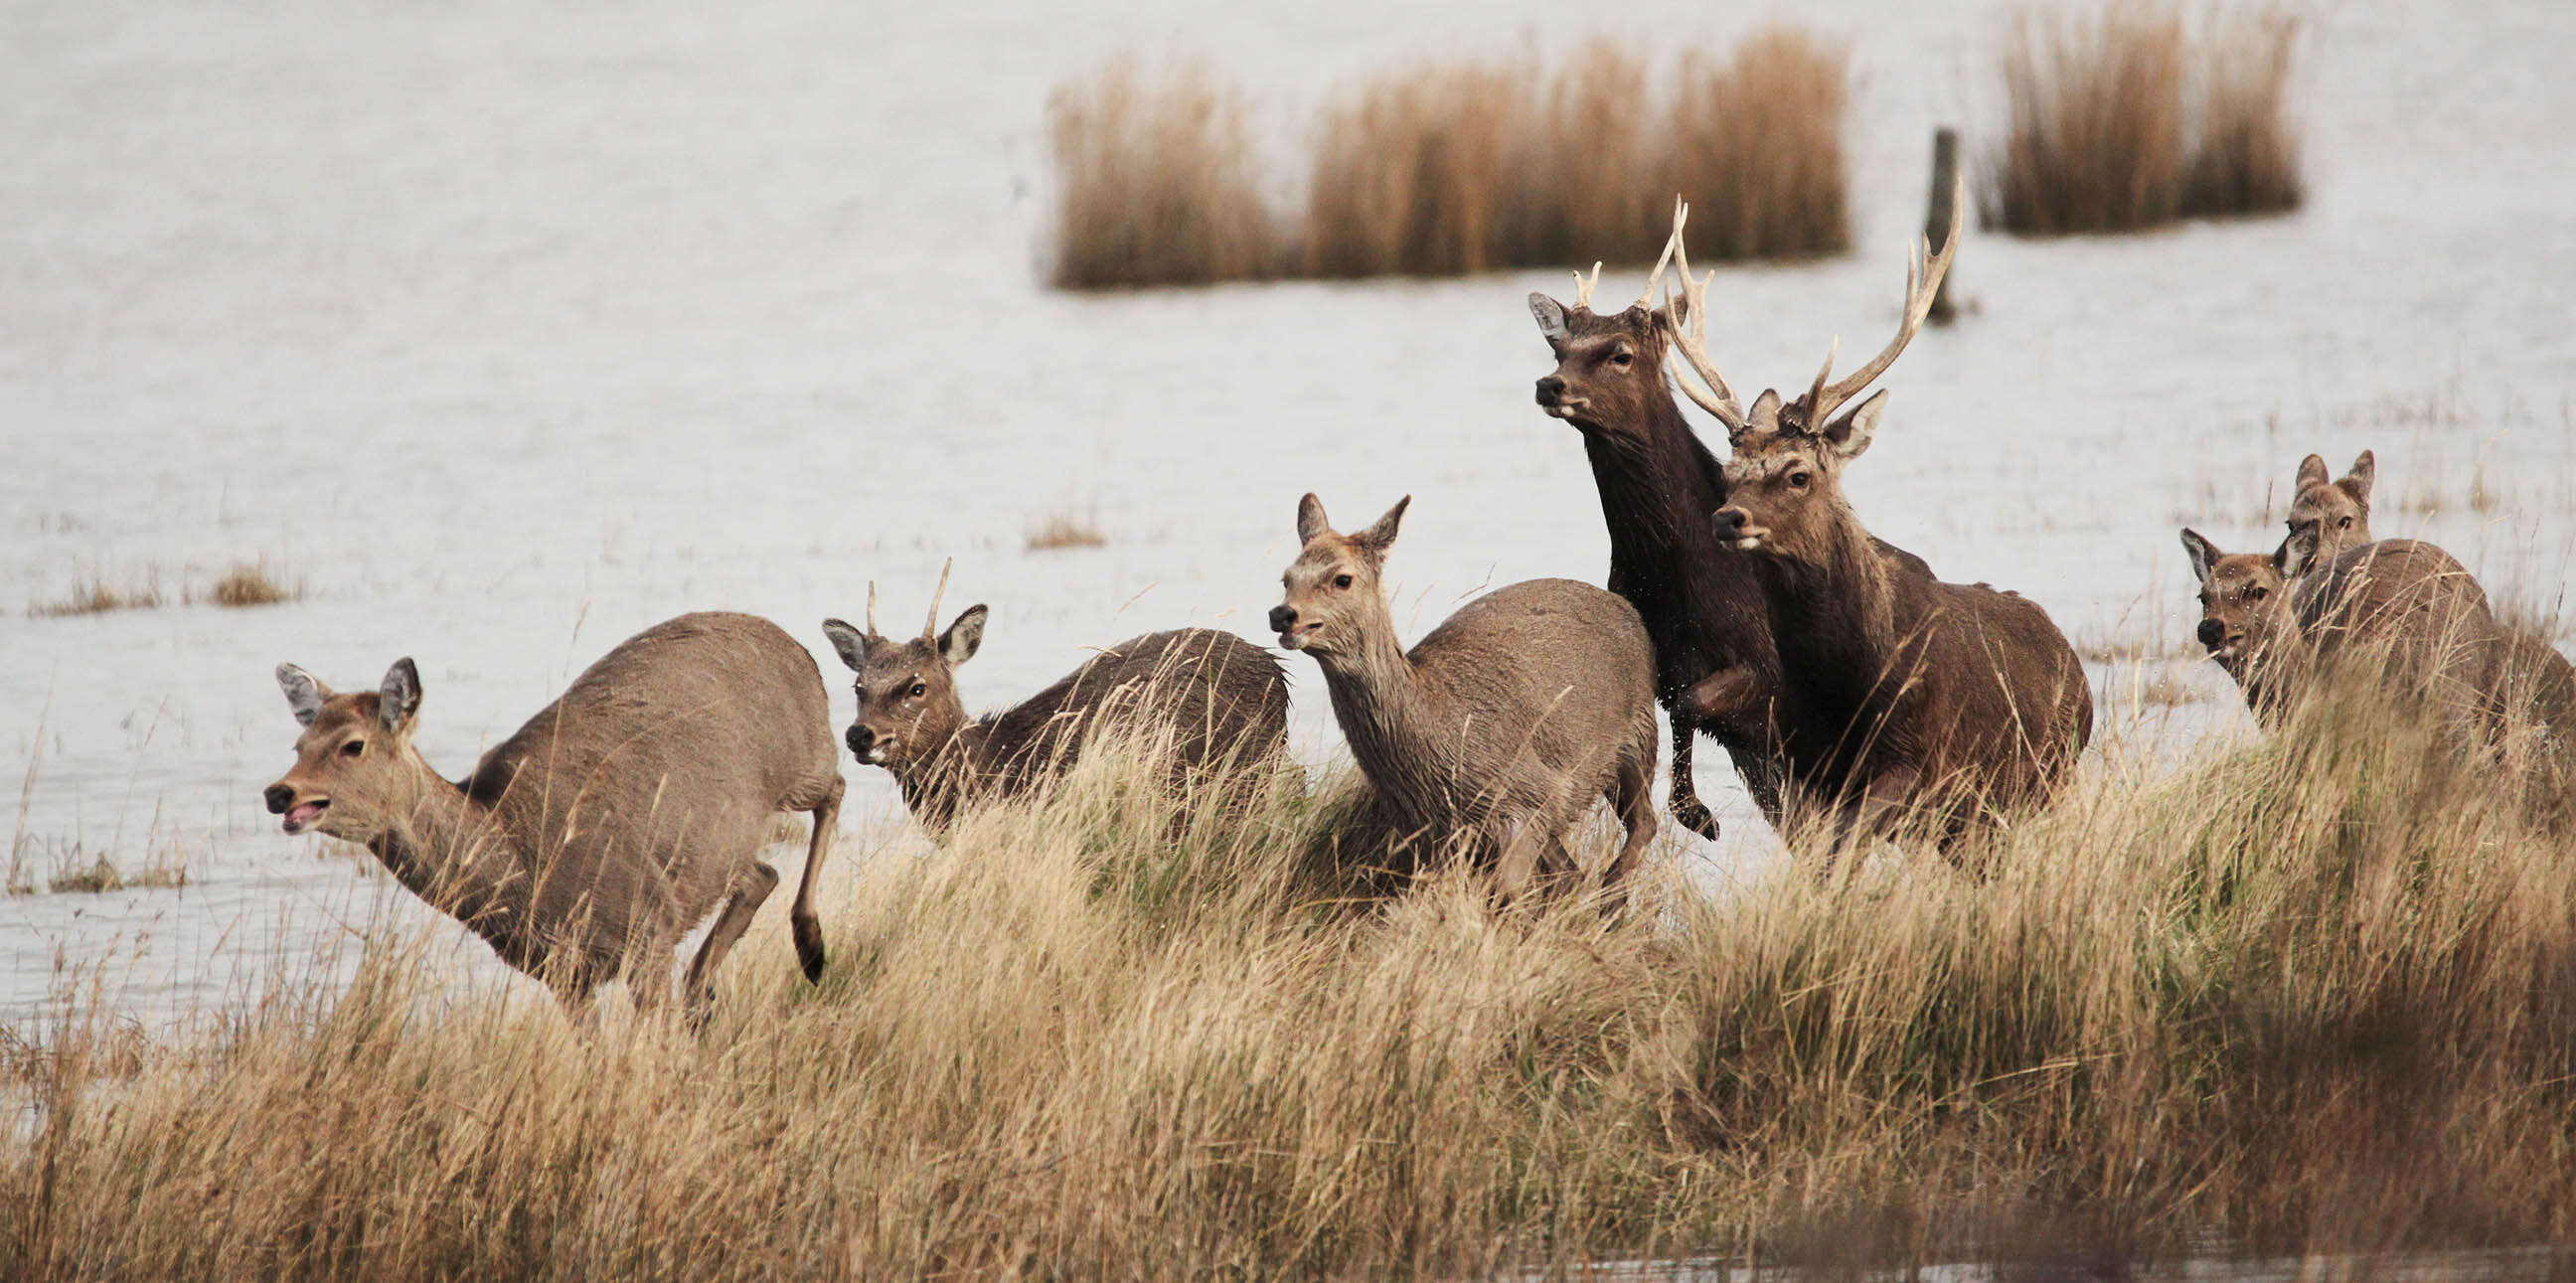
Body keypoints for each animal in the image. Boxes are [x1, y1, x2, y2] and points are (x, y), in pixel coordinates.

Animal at [262, 610, 845, 1020]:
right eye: (298, 745)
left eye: (353, 745)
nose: (279, 793)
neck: (521, 869)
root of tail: (795, 645)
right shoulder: (563, 974)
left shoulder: (648, 930)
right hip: (719, 847)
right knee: (761, 873)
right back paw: (704, 993)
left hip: (804, 757)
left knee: (834, 790)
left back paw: (811, 947)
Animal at [1262, 492, 1659, 901]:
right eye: (1286, 578)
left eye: (1342, 578)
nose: (1283, 614)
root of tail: (1626, 607)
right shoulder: (1437, 836)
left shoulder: (1529, 800)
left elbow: (1508, 894)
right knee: (1575, 872)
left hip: (1638, 733)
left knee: (1645, 822)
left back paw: (1611, 895)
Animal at [1525, 198, 1937, 840]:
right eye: (1557, 350)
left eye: (1620, 354)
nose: (1550, 384)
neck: (1673, 577)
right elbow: (1667, 709)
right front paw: (1689, 807)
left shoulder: (1763, 670)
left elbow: (1691, 703)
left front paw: (1697, 812)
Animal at [1669, 177, 2091, 860]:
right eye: (1729, 473)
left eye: (1798, 474)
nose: (1728, 520)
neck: (1846, 680)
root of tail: (2076, 668)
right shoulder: (1806, 769)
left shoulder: (1915, 760)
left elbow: (1847, 840)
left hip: (2036, 783)